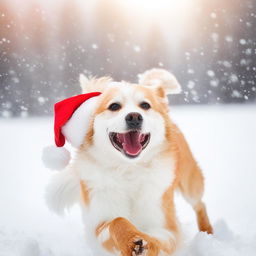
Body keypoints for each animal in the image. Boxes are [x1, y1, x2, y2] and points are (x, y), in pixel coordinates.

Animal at [46, 68, 214, 256]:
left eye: (145, 105)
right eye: (114, 106)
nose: (134, 117)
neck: (129, 169)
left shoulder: (163, 222)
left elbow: (159, 238)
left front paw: (146, 245)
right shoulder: (99, 221)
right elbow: (117, 221)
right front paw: (132, 241)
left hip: (190, 181)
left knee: (199, 204)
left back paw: (207, 233)